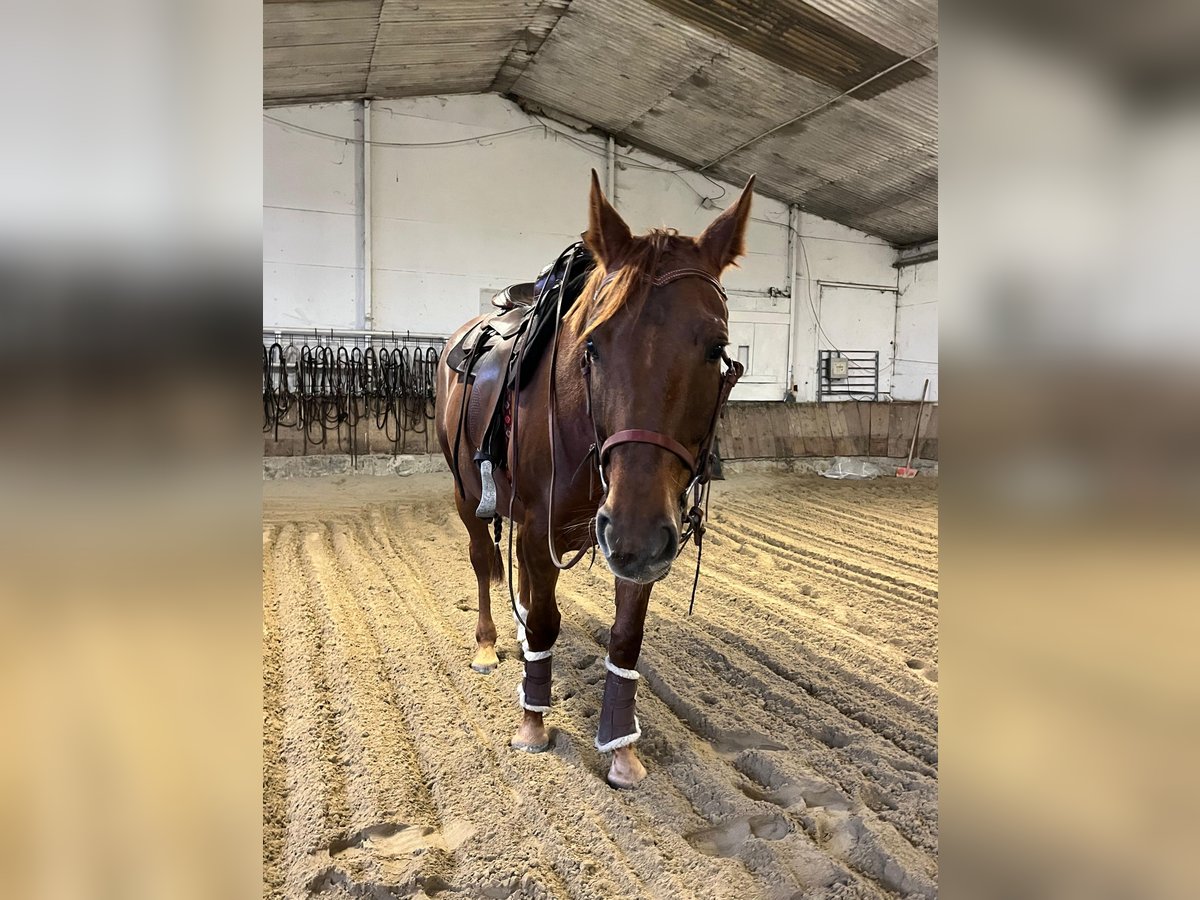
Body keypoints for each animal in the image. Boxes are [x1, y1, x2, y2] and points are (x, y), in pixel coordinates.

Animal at [435, 170, 753, 789]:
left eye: (717, 347)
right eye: (592, 346)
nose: (633, 532)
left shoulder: (642, 535)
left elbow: (624, 637)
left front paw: (621, 747)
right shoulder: (545, 527)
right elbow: (545, 620)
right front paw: (533, 724)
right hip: (468, 497)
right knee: (485, 564)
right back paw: (488, 644)